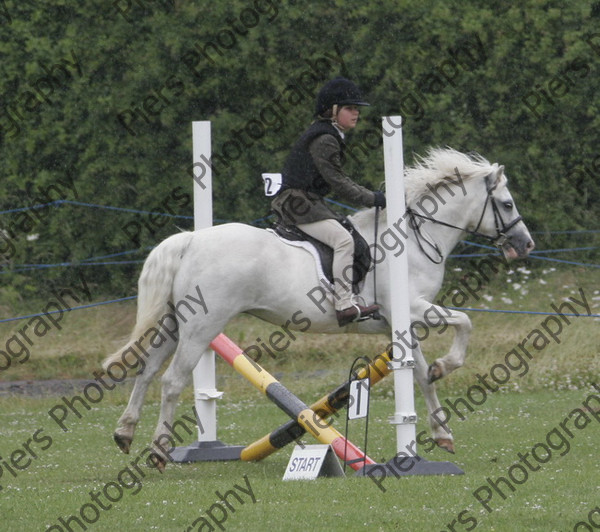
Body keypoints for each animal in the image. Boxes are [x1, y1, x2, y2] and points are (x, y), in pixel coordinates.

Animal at [103, 148, 536, 468]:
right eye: (506, 203)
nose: (526, 244)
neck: (416, 237)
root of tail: (190, 240)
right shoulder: (412, 308)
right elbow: (464, 323)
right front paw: (449, 366)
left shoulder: (399, 324)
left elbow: (422, 375)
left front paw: (442, 432)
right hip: (202, 327)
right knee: (172, 380)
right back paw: (159, 451)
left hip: (175, 323)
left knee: (146, 372)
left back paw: (125, 433)